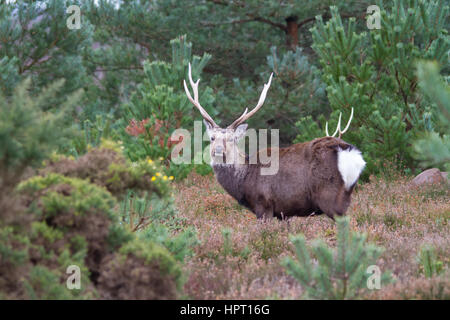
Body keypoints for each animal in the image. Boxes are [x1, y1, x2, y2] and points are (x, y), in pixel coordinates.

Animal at [183, 64, 366, 221]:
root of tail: (351, 153)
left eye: (232, 139)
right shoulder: (285, 212)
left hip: (330, 196)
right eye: (212, 138)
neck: (243, 179)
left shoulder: (263, 203)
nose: (219, 150)